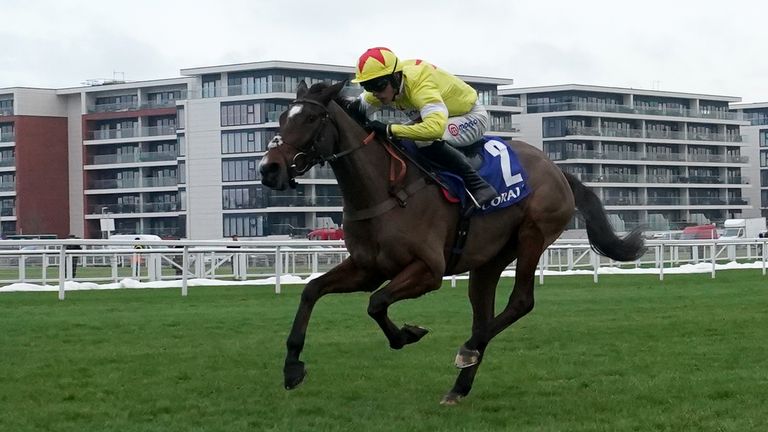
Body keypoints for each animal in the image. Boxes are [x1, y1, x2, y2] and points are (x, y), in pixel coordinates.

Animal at [260, 81, 648, 404]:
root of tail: (557, 170)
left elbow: (376, 302)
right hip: (489, 259)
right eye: (281, 118)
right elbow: (312, 291)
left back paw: (467, 351)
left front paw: (407, 334)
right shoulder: (367, 268)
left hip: (533, 235)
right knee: (483, 315)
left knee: (520, 302)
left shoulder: (428, 271)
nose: (269, 168)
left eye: (311, 118)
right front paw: (292, 367)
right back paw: (459, 386)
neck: (385, 191)